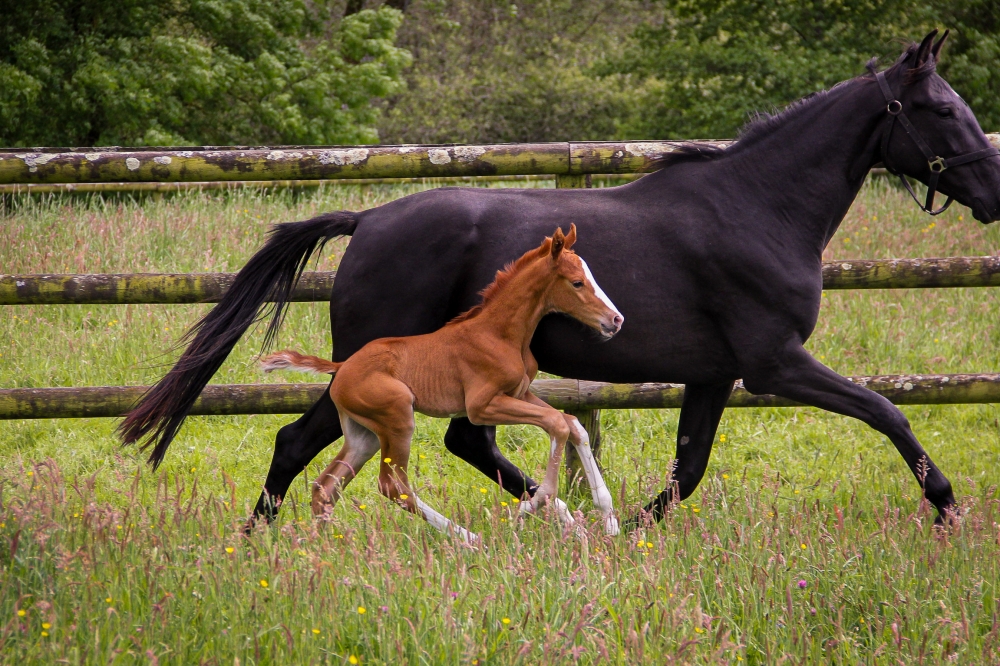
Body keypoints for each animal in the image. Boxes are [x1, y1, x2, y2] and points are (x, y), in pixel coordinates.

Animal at [258, 225, 624, 542]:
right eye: (577, 283)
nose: (615, 320)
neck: (499, 333)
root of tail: (343, 366)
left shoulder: (520, 393)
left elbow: (572, 423)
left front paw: (608, 517)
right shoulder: (481, 406)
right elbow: (557, 424)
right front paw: (529, 508)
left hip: (364, 435)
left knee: (325, 487)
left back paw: (324, 547)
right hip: (398, 418)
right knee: (393, 486)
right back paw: (470, 539)